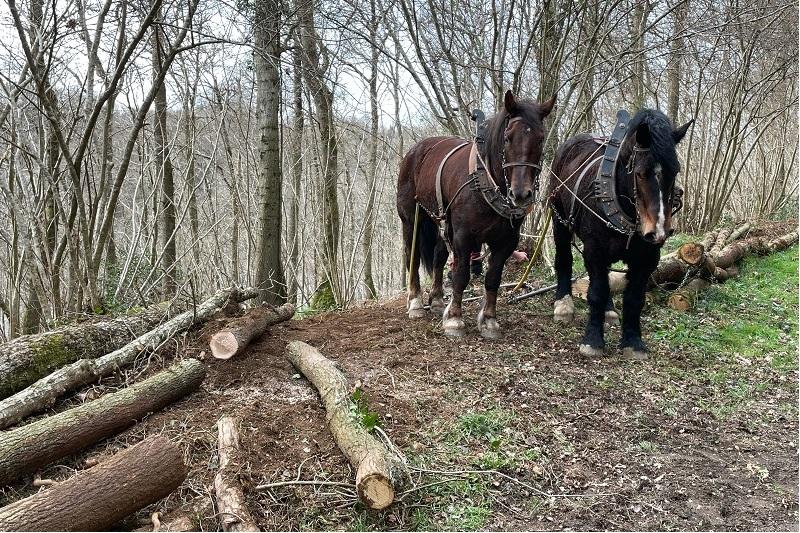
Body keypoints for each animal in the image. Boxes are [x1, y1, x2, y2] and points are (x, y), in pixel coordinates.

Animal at [396, 91, 552, 336]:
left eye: (540, 138)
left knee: (439, 255)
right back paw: (416, 302)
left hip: (441, 220)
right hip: (411, 219)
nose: (521, 194)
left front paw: (489, 320)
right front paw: (454, 318)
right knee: (411, 255)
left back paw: (437, 299)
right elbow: (461, 275)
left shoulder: (507, 241)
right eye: (508, 138)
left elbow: (493, 278)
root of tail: (416, 150)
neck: (485, 181)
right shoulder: (463, 236)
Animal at [552, 109, 692, 358]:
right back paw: (563, 304)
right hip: (559, 220)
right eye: (640, 173)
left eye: (674, 171)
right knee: (564, 259)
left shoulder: (648, 257)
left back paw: (609, 312)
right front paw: (592, 341)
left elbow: (634, 298)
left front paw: (633, 342)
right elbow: (596, 292)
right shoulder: (594, 249)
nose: (658, 231)